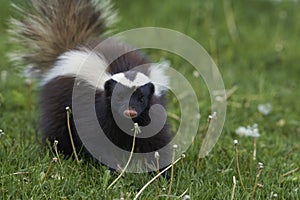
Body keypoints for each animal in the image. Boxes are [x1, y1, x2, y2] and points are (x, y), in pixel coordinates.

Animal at [8, 0, 171, 170]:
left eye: (141, 99)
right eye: (118, 97)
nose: (130, 111)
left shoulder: (152, 110)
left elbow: (157, 138)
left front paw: (162, 170)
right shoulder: (95, 109)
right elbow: (96, 138)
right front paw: (112, 167)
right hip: (58, 100)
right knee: (58, 128)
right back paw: (62, 153)